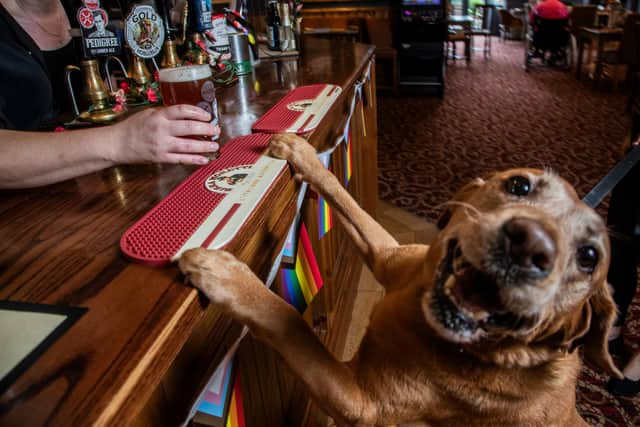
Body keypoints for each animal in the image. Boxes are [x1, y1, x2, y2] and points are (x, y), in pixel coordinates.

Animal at [180, 135, 624, 427]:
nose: (531, 244)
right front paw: (299, 152)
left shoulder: (359, 403)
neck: (420, 319)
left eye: (589, 257)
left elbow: (287, 321)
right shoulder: (385, 254)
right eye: (519, 184)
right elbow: (346, 199)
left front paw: (226, 275)